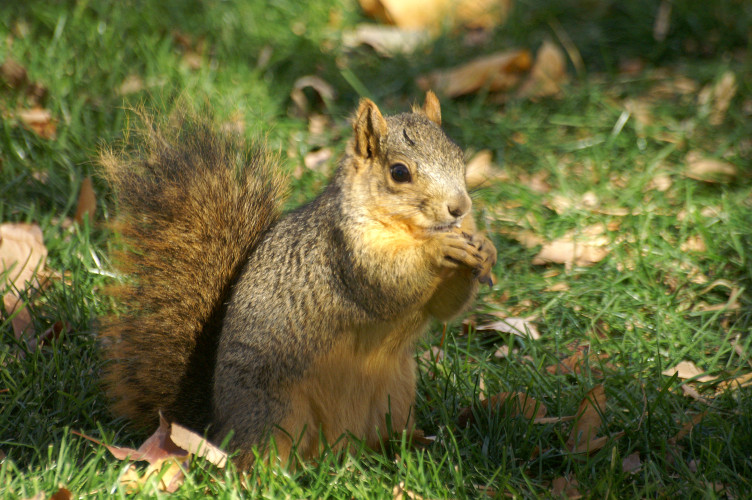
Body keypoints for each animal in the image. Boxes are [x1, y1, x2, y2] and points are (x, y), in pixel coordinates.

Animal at [99, 92, 497, 468]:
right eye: (399, 173)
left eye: (459, 157)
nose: (460, 208)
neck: (410, 230)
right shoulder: (345, 252)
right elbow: (388, 282)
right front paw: (439, 248)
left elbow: (445, 308)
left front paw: (486, 247)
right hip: (276, 409)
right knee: (259, 454)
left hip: (394, 397)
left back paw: (411, 446)